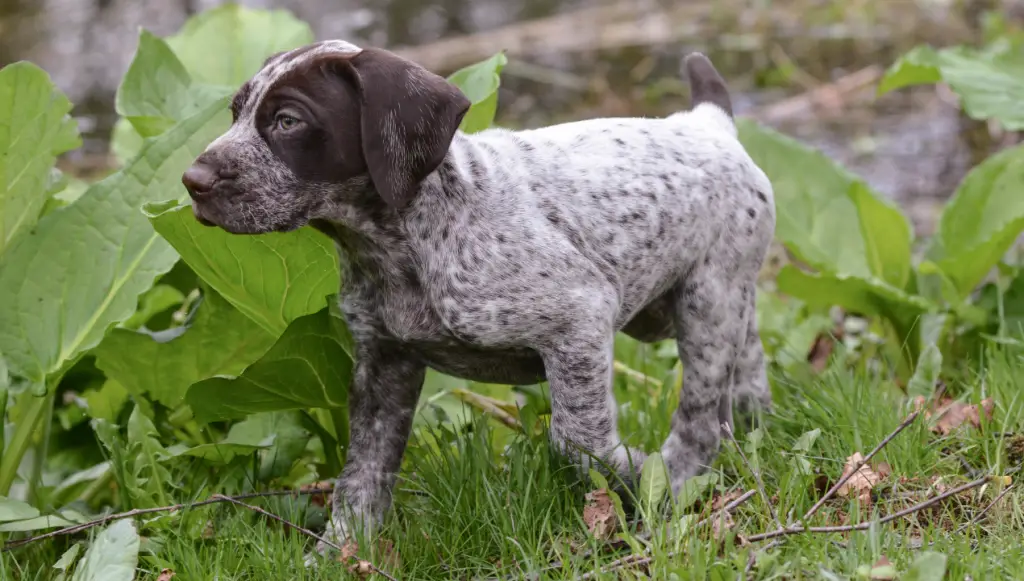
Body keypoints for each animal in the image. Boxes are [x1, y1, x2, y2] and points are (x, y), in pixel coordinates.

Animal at [184, 38, 774, 557]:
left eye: (288, 121)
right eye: (235, 113)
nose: (193, 180)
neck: (402, 242)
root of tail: (706, 122)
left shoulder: (579, 319)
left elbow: (577, 441)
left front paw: (636, 473)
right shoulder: (382, 365)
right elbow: (361, 478)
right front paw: (338, 554)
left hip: (707, 299)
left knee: (700, 418)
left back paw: (675, 479)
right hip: (709, 304)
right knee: (746, 373)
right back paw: (755, 435)